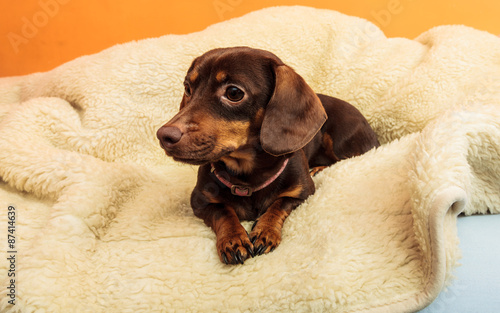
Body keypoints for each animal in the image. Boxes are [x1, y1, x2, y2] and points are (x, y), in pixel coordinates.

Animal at [157, 47, 378, 264]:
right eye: (188, 88)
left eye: (234, 92)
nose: (163, 136)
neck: (247, 176)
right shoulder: (200, 200)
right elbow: (223, 211)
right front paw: (233, 238)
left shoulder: (303, 193)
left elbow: (278, 204)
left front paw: (265, 231)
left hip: (341, 141)